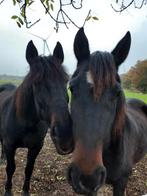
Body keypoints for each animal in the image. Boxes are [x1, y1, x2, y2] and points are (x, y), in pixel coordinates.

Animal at [0, 40, 73, 195]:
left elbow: (29, 169)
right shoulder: (10, 146)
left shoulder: (36, 147)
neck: (26, 122)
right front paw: (8, 191)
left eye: (66, 81)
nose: (65, 135)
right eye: (36, 83)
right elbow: (10, 169)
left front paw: (26, 191)